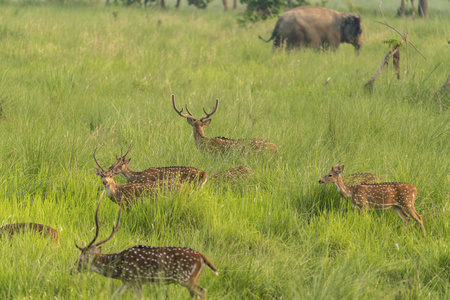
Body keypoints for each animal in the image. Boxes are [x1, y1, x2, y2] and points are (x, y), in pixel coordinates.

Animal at [74, 191, 218, 298]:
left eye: (80, 259)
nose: (72, 269)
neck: (118, 268)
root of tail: (202, 257)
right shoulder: (126, 282)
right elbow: (114, 296)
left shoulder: (135, 279)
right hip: (191, 278)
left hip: (185, 278)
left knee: (203, 291)